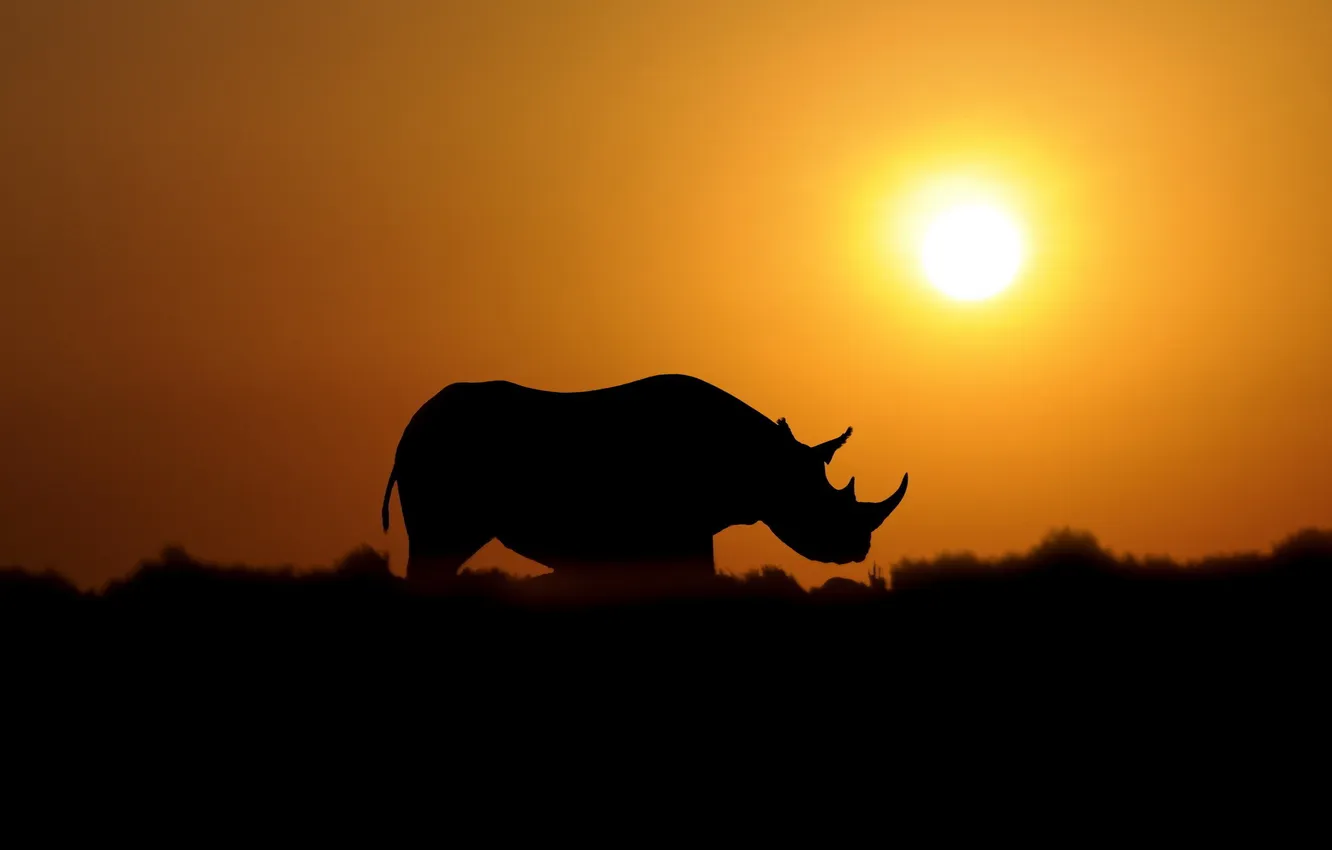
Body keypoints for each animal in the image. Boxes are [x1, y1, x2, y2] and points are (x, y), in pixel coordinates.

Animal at [381, 374, 907, 584]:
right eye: (820, 507)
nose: (858, 549)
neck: (765, 462)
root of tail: (409, 427)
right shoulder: (680, 528)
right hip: (439, 452)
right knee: (437, 548)